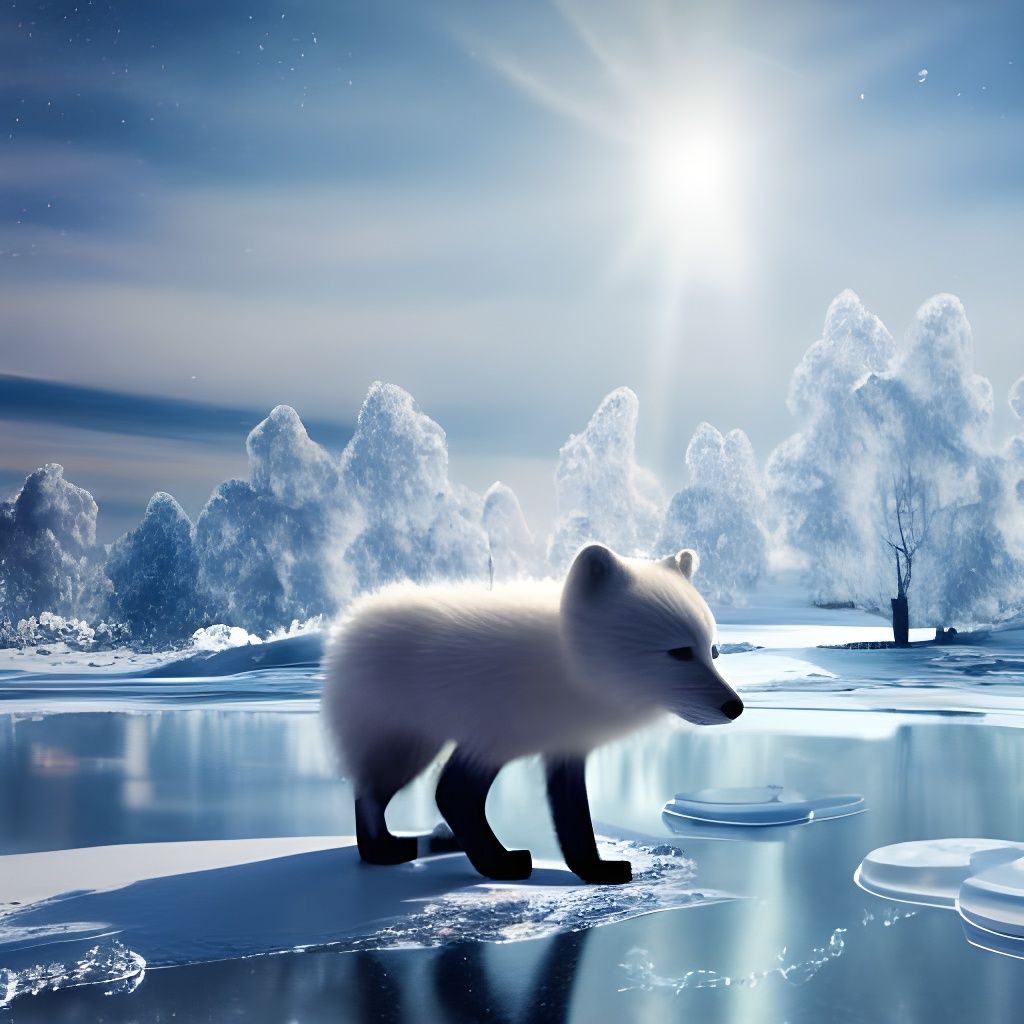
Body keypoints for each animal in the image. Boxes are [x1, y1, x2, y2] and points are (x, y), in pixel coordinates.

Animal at [322, 543, 743, 885]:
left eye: (713, 652)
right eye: (680, 653)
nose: (735, 708)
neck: (570, 665)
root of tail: (353, 620)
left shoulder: (565, 747)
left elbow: (574, 823)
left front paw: (594, 871)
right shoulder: (490, 741)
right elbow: (455, 796)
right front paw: (499, 866)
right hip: (406, 749)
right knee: (370, 796)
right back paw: (383, 852)